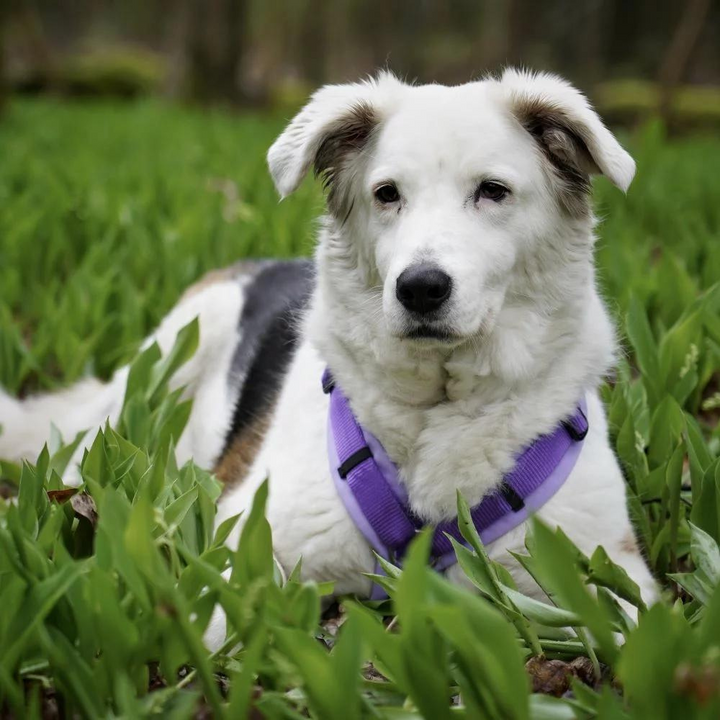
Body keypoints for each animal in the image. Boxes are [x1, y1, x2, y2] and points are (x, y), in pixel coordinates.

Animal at [0, 67, 660, 640]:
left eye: (493, 191)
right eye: (386, 194)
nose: (420, 289)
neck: (438, 404)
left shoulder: (613, 575)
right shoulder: (247, 546)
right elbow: (210, 625)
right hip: (166, 361)